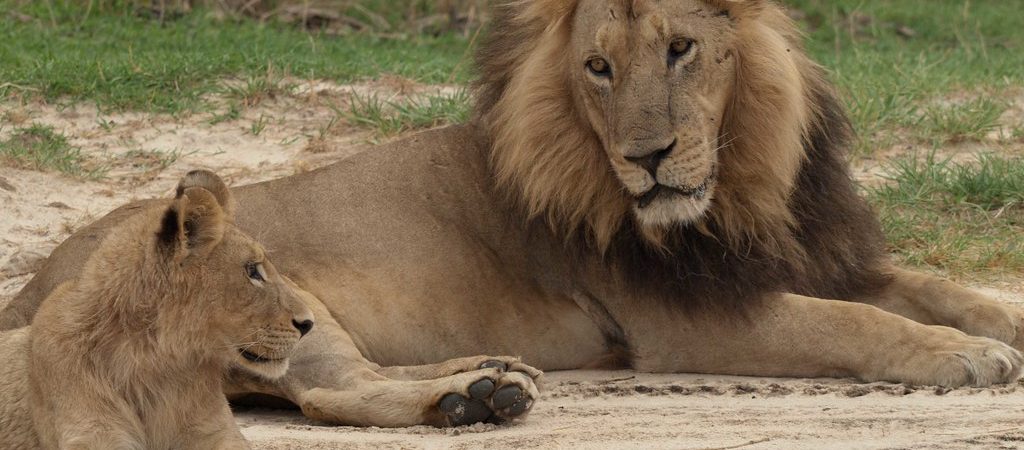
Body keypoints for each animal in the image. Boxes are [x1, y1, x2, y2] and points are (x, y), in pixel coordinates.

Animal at [2, 0, 1023, 428]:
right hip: (286, 303)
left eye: (681, 50)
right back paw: (470, 403)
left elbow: (940, 289)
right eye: (597, 68)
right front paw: (964, 359)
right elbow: (853, 323)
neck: (743, 175)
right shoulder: (683, 321)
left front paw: (993, 324)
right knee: (329, 393)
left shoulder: (817, 258)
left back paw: (489, 378)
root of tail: (33, 289)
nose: (646, 159)